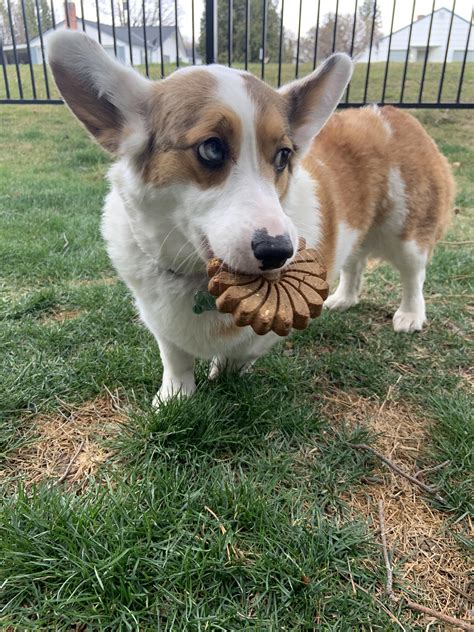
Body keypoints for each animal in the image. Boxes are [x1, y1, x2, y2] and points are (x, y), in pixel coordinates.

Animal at [48, 30, 456, 404]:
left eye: (284, 155)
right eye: (211, 149)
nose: (278, 252)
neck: (199, 279)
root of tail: (392, 112)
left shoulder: (266, 330)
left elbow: (240, 353)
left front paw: (222, 374)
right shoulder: (160, 323)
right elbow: (175, 359)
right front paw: (174, 397)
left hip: (407, 233)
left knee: (413, 275)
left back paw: (410, 315)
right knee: (355, 262)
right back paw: (343, 298)